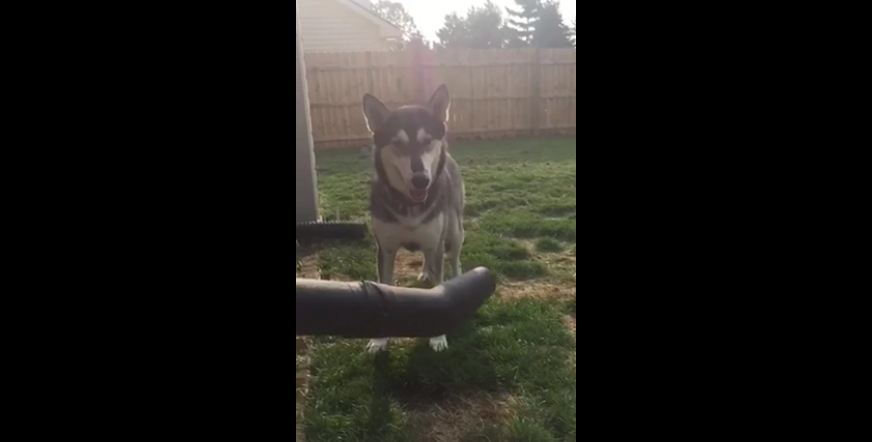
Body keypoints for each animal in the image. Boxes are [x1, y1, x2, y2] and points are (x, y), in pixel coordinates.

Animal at [362, 83, 466, 352]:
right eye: (397, 144)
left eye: (427, 141)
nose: (421, 180)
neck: (409, 204)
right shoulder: (385, 249)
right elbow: (384, 286)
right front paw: (379, 340)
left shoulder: (436, 241)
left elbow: (439, 291)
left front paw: (437, 337)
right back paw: (425, 271)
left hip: (454, 232)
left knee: (454, 258)